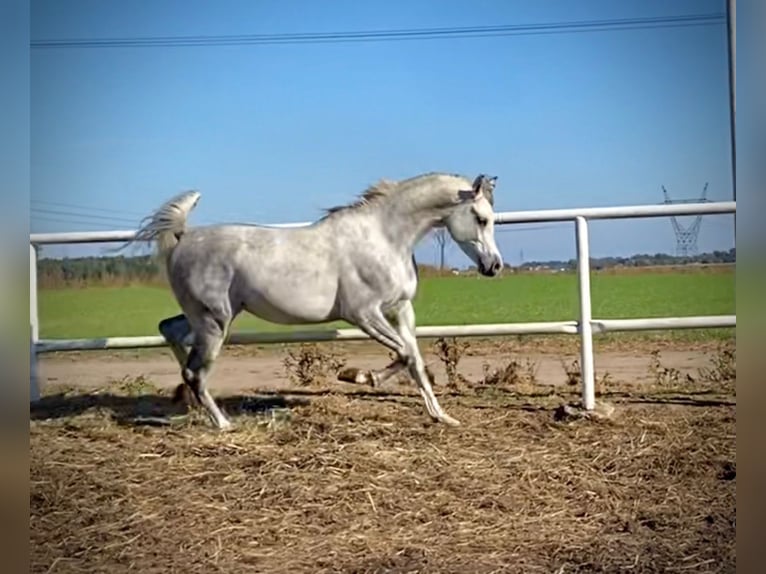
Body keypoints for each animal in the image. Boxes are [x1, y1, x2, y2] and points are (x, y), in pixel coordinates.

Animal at [132, 173, 504, 430]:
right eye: (481, 219)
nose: (494, 266)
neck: (385, 238)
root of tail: (182, 238)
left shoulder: (401, 309)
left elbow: (416, 361)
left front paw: (442, 416)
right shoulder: (363, 314)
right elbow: (404, 354)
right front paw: (358, 376)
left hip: (207, 317)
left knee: (171, 332)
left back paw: (186, 400)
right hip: (214, 322)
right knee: (195, 369)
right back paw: (222, 423)